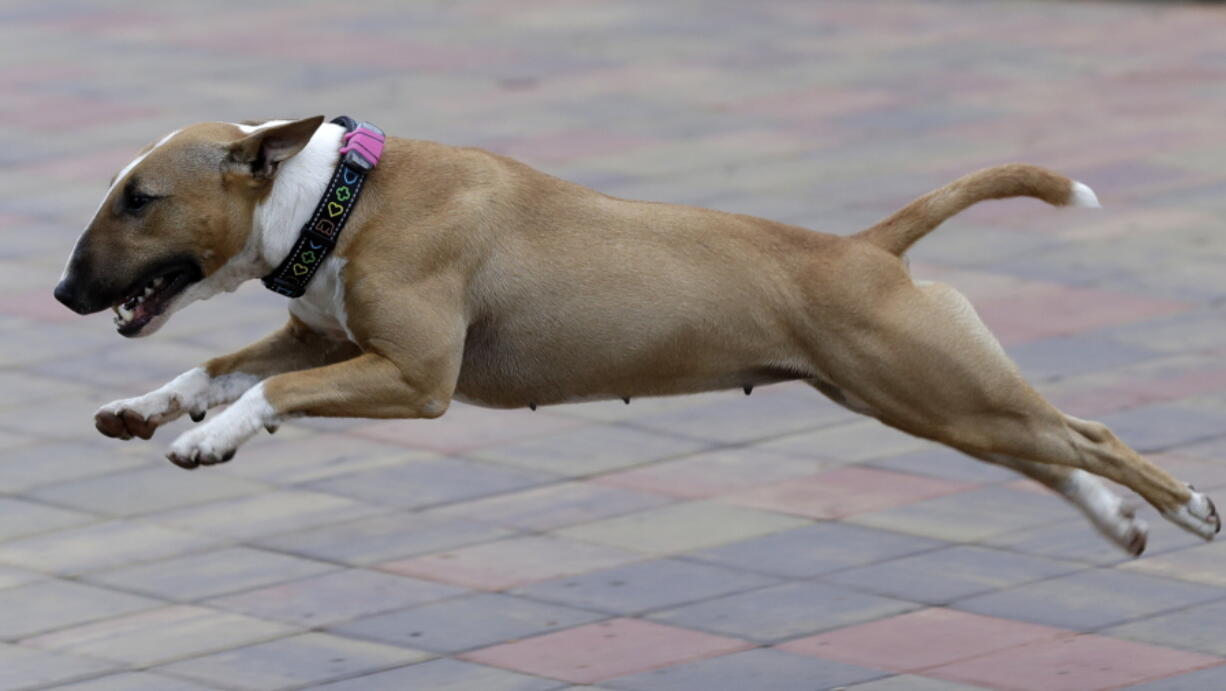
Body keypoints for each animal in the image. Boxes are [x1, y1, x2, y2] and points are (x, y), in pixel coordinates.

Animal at [55, 114, 1216, 556]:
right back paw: (1119, 524)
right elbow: (219, 362)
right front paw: (148, 409)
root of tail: (866, 248)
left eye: (140, 199)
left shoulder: (416, 376)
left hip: (937, 387)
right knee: (1048, 450)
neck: (338, 197)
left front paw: (209, 438)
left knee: (1088, 436)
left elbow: (269, 393)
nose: (65, 291)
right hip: (930, 402)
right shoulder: (327, 339)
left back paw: (1189, 509)